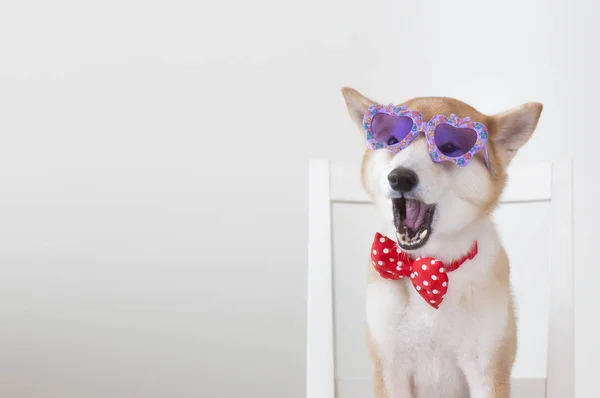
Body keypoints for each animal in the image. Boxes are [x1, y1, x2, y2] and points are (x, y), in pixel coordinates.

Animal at [342, 88, 544, 398]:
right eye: (392, 141)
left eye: (449, 147)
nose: (400, 177)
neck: (429, 267)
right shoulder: (389, 368)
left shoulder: (487, 369)